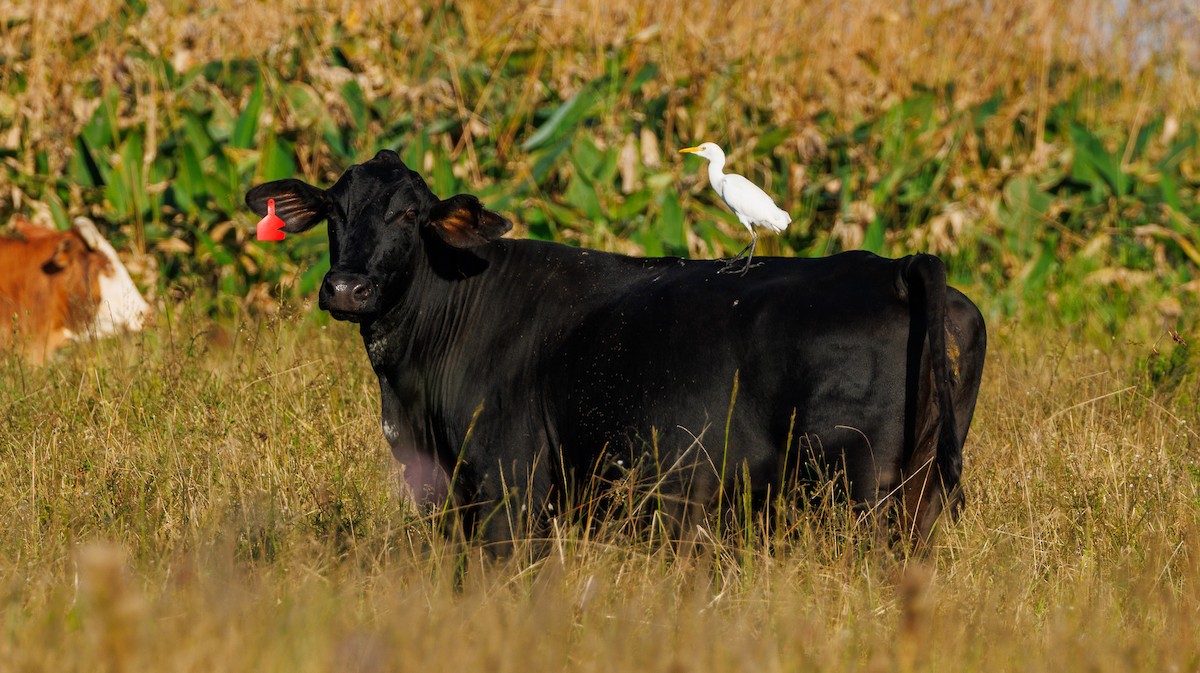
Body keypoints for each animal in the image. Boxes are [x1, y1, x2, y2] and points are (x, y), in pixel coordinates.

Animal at [243, 151, 984, 547]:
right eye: (333, 210)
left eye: (407, 214)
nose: (348, 287)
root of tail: (892, 264)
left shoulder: (510, 481)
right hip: (916, 493)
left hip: (856, 489)